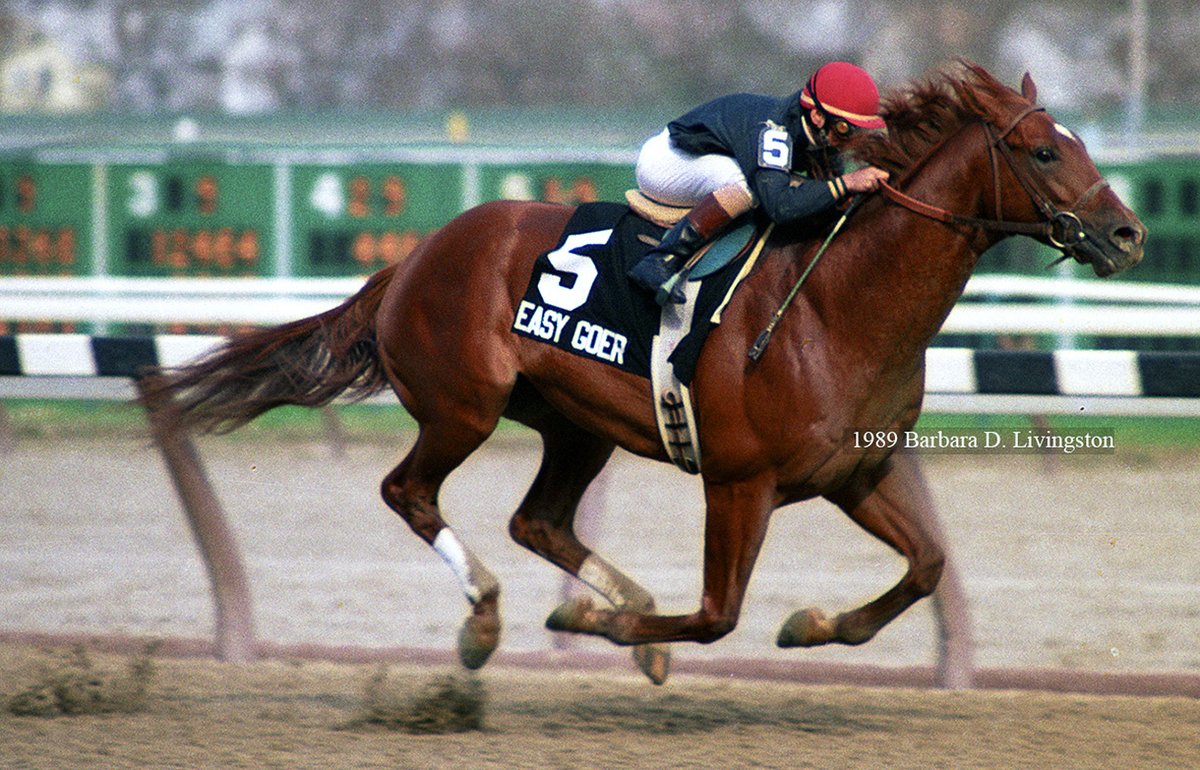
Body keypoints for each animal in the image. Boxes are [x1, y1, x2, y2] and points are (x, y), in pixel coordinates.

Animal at [150, 62, 1142, 681]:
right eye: (1046, 150)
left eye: (1082, 143)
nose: (1128, 233)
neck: (837, 307)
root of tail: (417, 254)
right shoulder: (740, 482)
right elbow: (716, 614)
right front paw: (613, 629)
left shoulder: (856, 470)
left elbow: (929, 566)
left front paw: (812, 624)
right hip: (463, 407)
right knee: (411, 493)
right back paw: (489, 617)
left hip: (574, 425)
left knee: (539, 521)